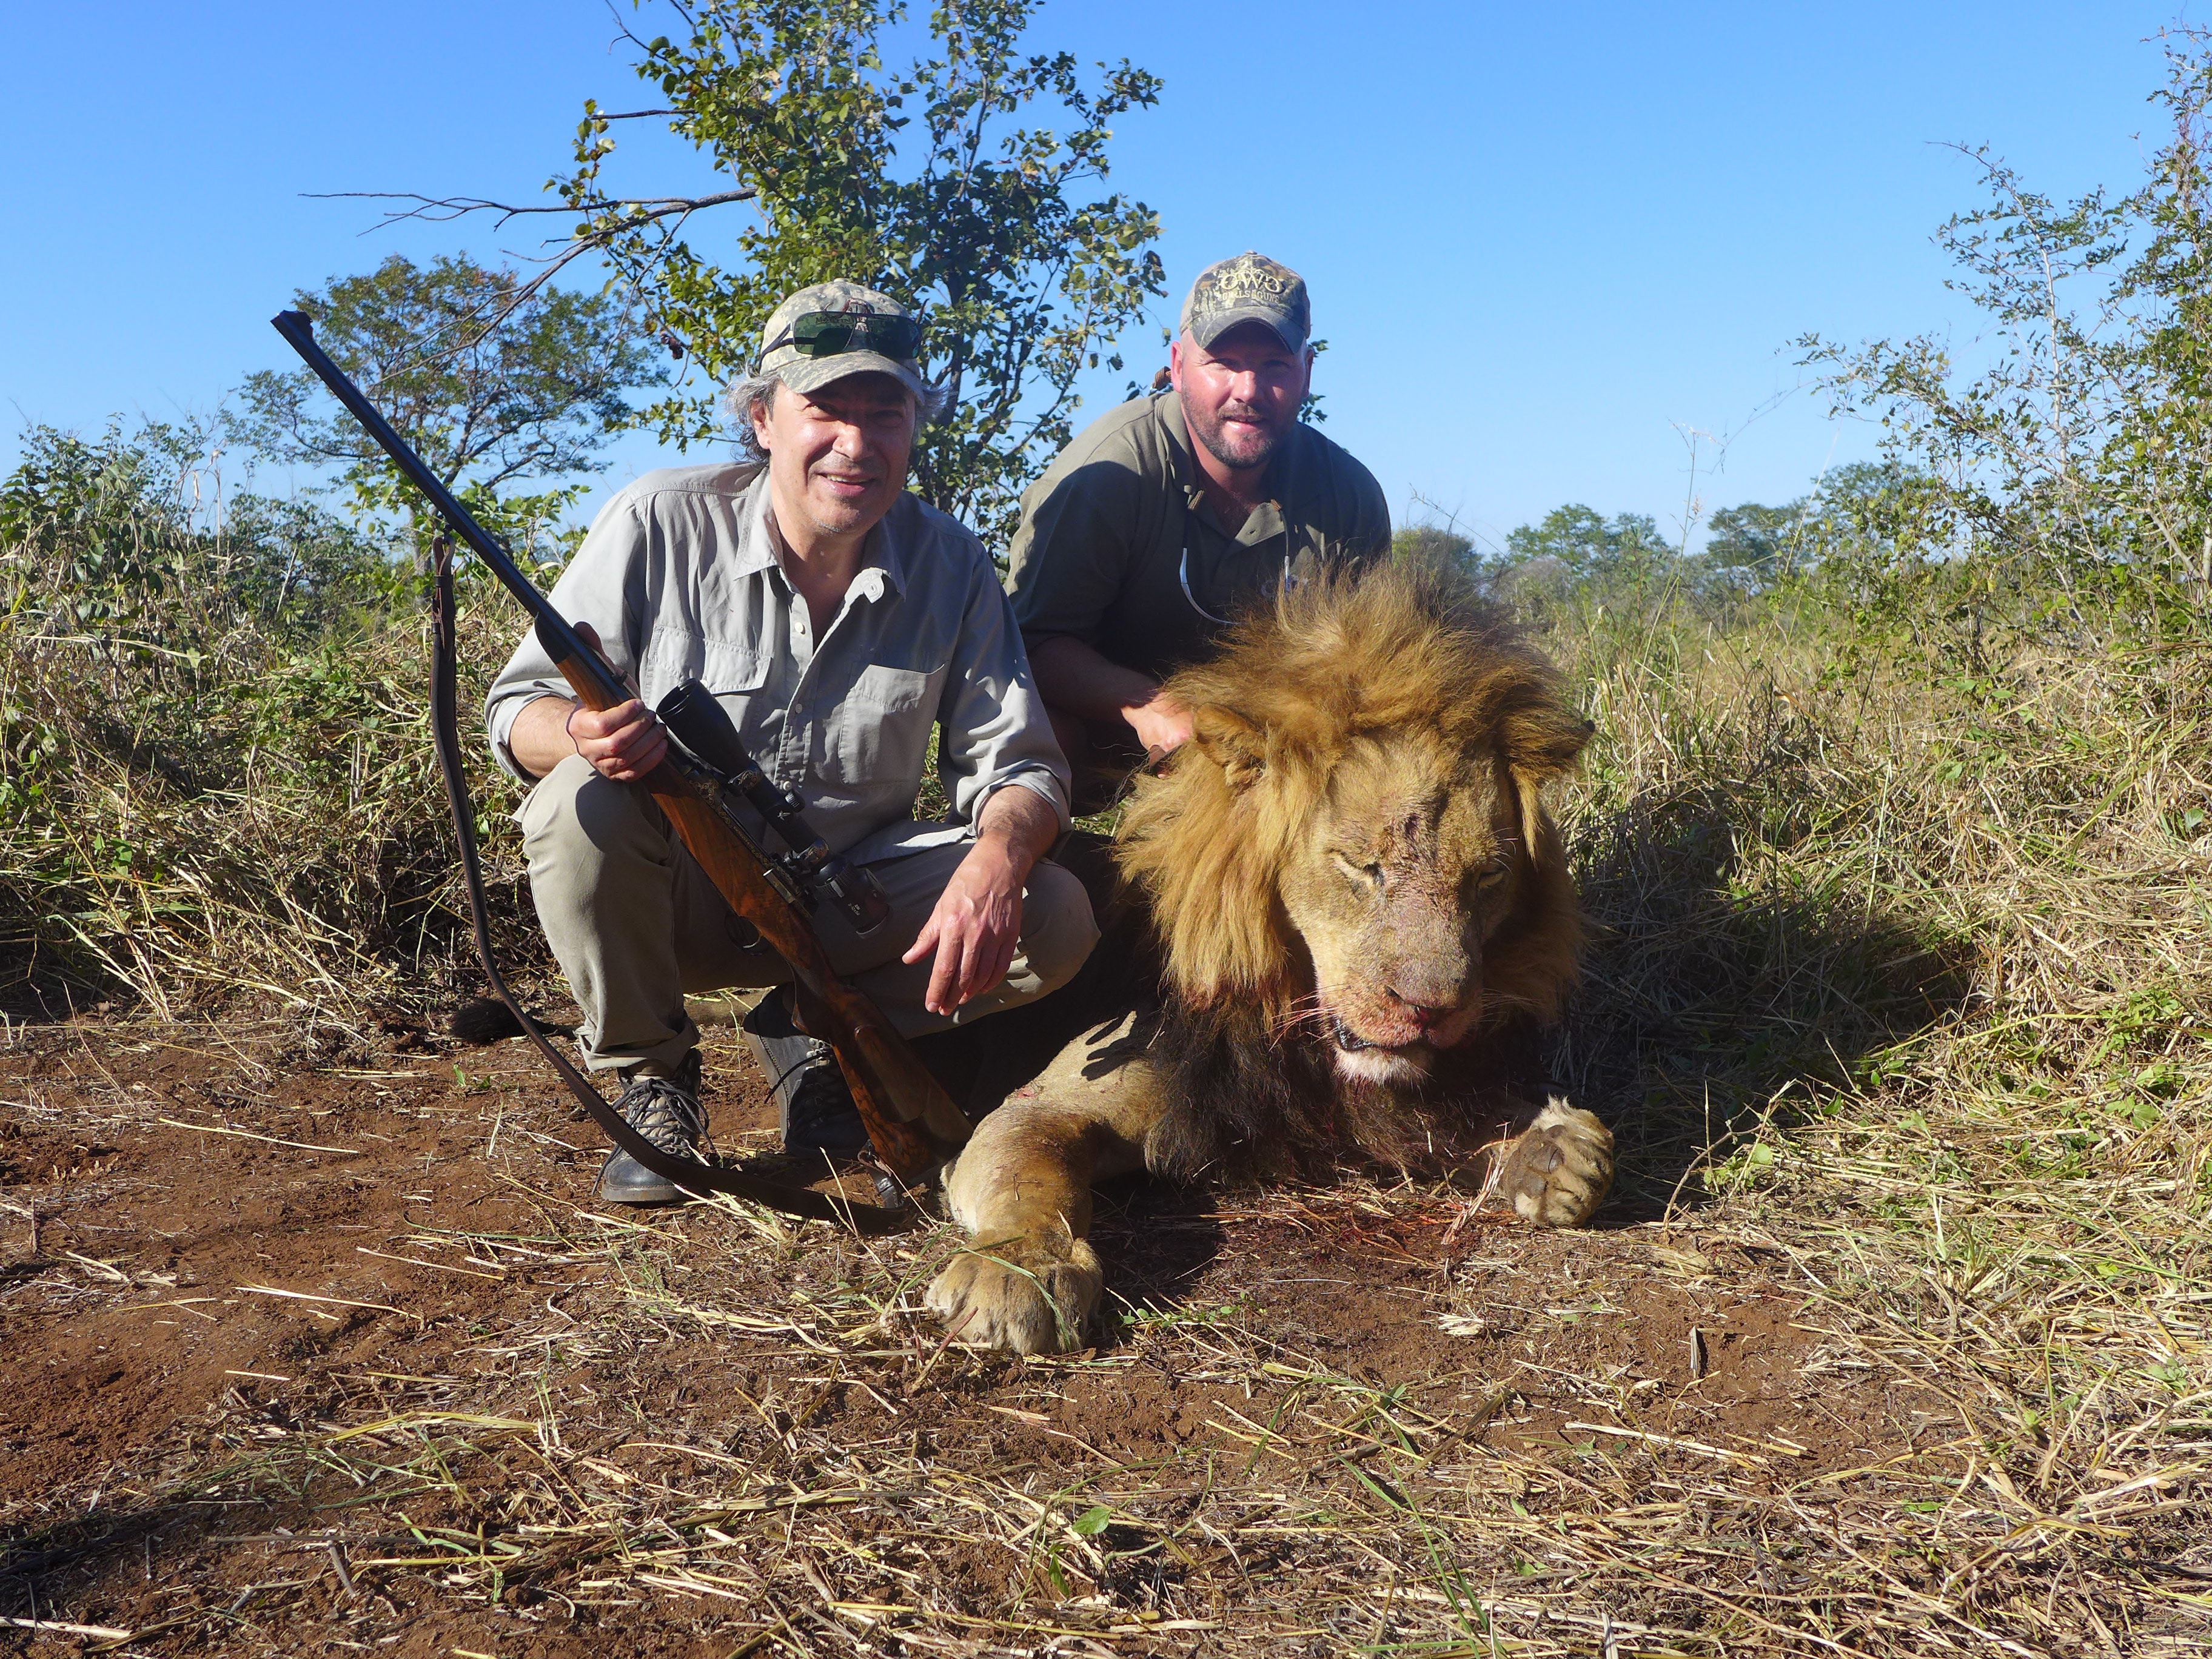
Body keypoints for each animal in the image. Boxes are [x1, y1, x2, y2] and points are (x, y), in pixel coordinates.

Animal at [924, 557, 1614, 1354]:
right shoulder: (1049, 1103)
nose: (1435, 1011)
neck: (1291, 1029)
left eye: (1488, 877)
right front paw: (1017, 1271)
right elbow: (1030, 1176)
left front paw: (1553, 1149)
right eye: (1363, 867)